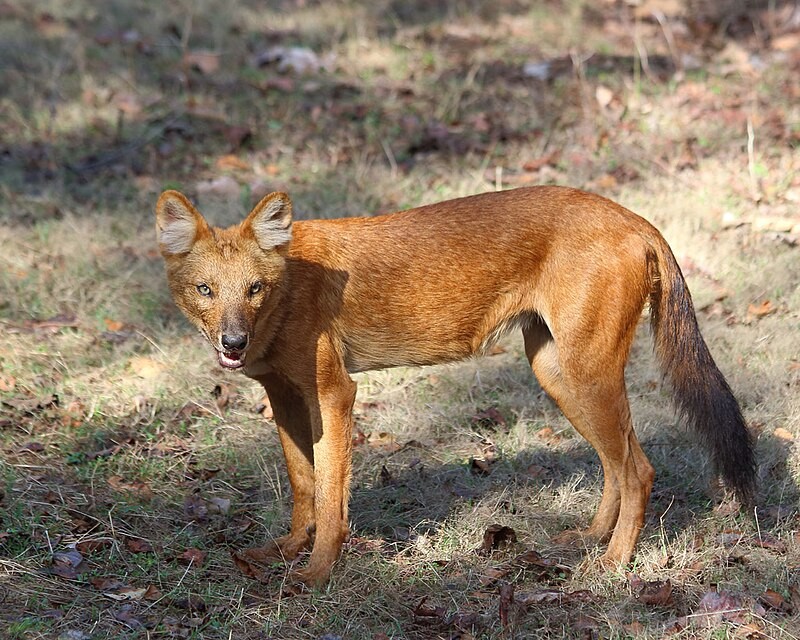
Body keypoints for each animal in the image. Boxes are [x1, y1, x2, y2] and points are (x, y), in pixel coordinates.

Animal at [156, 184, 756, 584]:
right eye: (206, 290)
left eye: (253, 288)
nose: (233, 341)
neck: (288, 287)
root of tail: (636, 218)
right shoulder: (283, 396)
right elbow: (303, 483)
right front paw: (283, 551)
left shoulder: (334, 393)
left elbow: (330, 496)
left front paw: (316, 574)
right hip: (556, 373)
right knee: (620, 461)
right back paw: (588, 540)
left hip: (587, 372)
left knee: (640, 469)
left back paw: (612, 565)